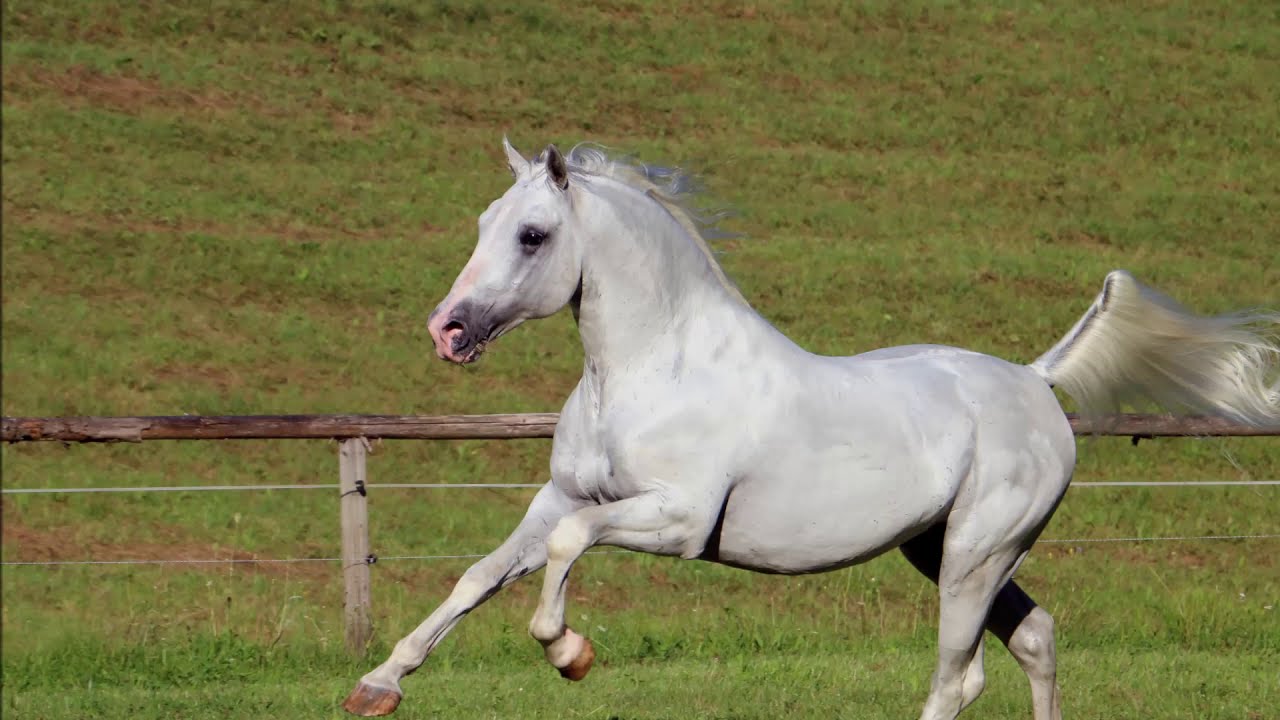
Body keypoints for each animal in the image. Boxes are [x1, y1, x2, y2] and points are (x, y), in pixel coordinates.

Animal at [343, 139, 1280, 720]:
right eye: (482, 224)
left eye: (533, 235)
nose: (447, 330)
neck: (655, 370)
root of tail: (1034, 379)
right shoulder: (557, 496)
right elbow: (479, 575)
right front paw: (378, 684)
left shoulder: (675, 521)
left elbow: (569, 554)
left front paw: (570, 652)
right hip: (943, 548)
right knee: (1036, 640)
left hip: (978, 554)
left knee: (959, 675)